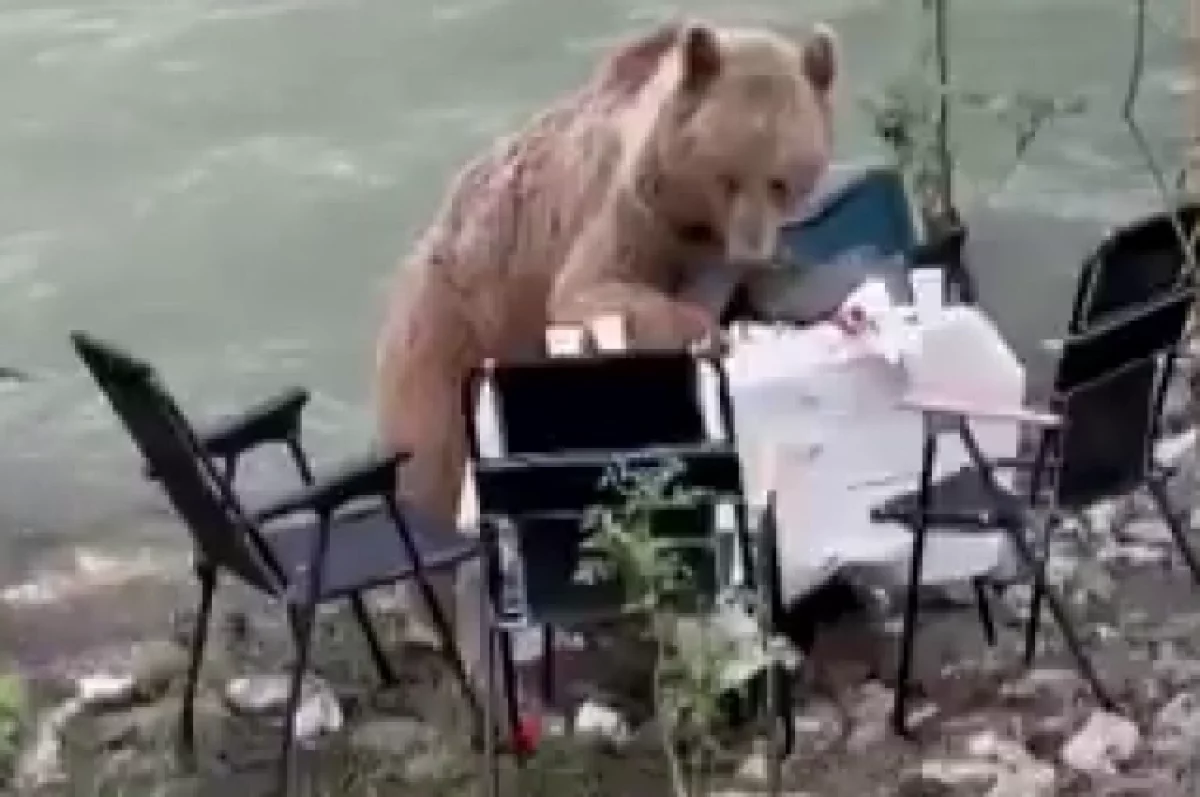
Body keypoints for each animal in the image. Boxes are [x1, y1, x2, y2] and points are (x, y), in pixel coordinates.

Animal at [375, 19, 840, 527]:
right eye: (728, 177)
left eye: (780, 181)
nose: (751, 251)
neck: (691, 216)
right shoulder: (629, 210)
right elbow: (588, 291)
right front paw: (705, 331)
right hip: (452, 326)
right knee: (430, 457)